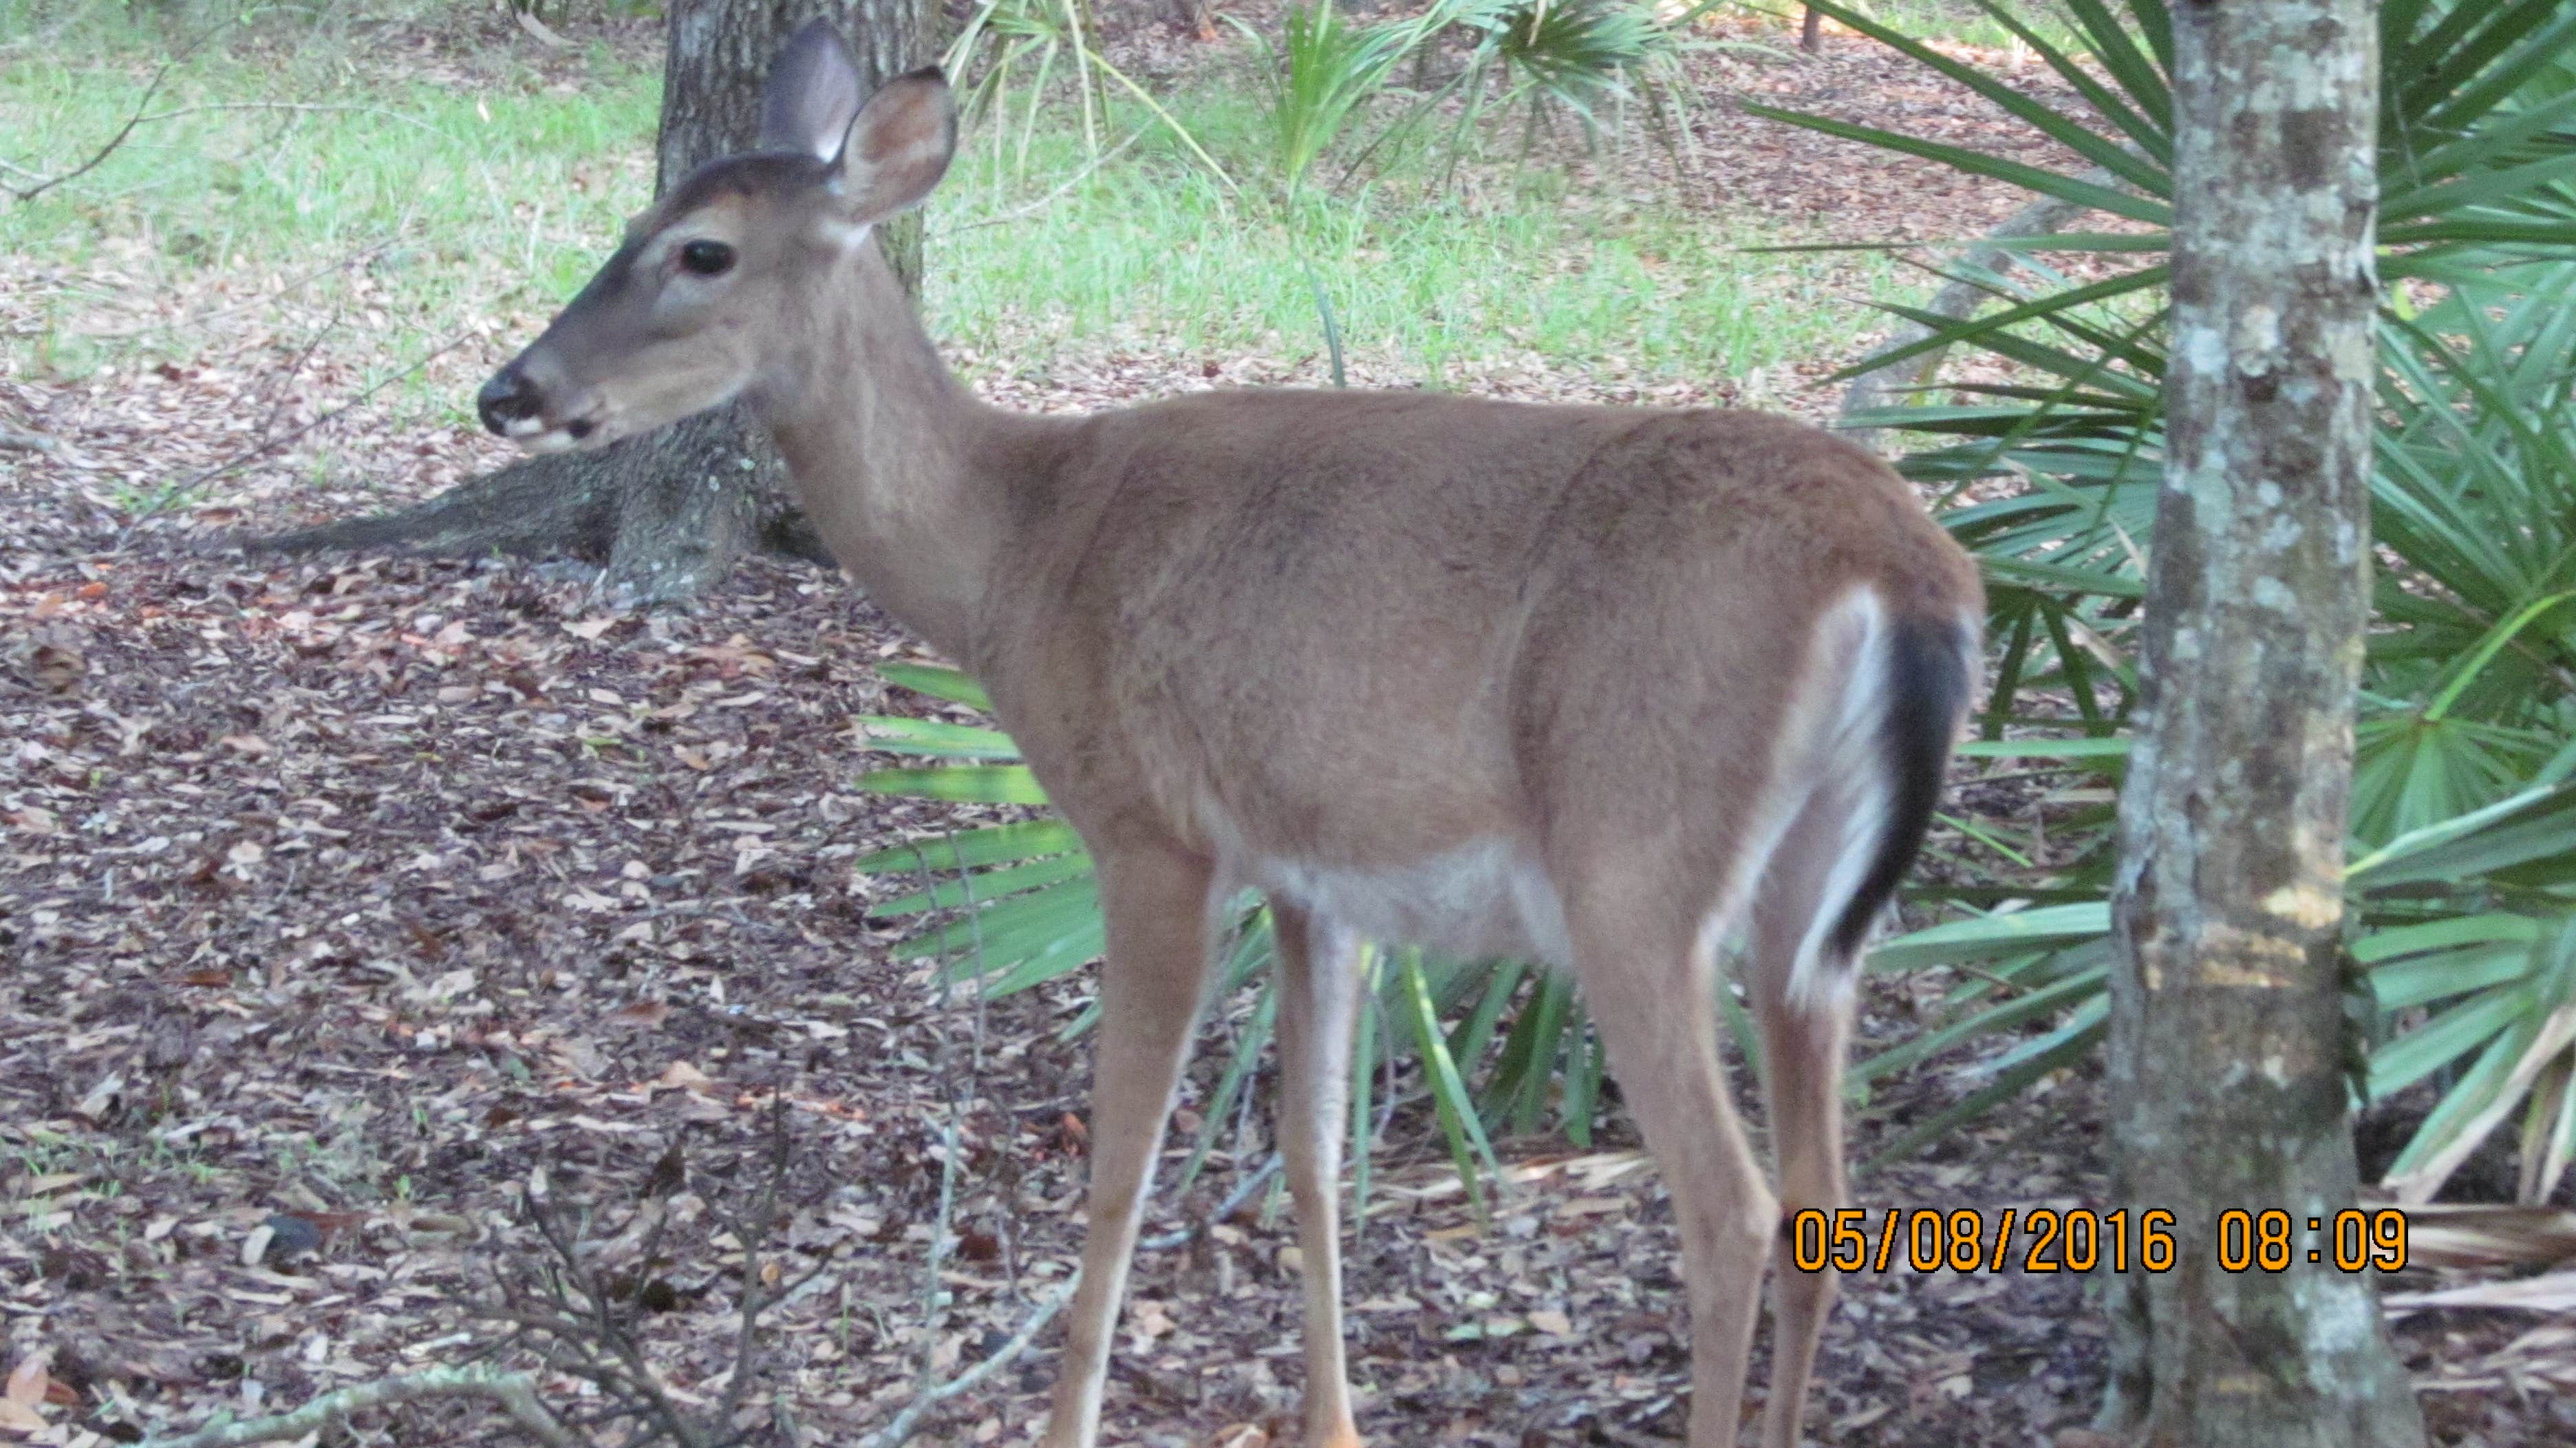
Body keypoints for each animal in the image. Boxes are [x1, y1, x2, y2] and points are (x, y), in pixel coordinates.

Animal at [479, 25, 1968, 1442]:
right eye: (638, 213)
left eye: (701, 250)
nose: (509, 390)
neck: (1013, 550)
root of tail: (1899, 568)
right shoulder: (1314, 870)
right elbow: (1312, 1155)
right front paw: (1332, 1422)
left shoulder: (1149, 831)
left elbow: (1118, 1173)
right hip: (1809, 901)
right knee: (1822, 1197)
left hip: (1633, 854)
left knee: (1731, 1205)